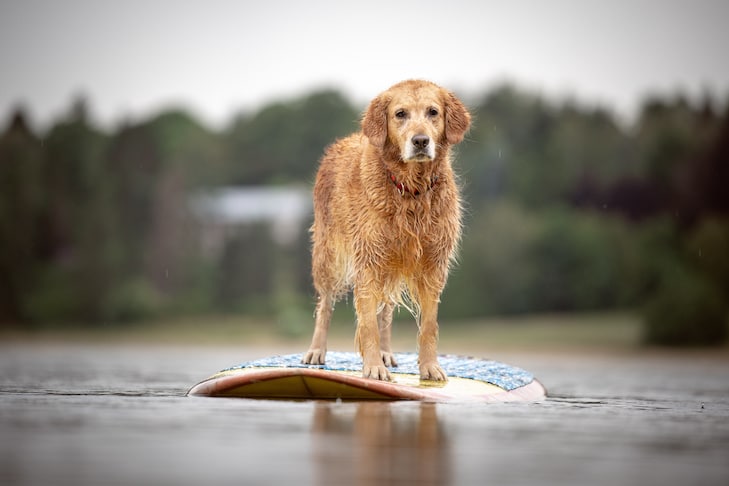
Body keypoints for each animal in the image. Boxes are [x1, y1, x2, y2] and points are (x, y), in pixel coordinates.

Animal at [302, 79, 470, 382]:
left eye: (433, 112)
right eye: (400, 114)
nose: (420, 141)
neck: (411, 190)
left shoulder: (432, 266)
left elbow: (428, 324)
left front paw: (429, 366)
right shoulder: (368, 261)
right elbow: (367, 323)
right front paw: (373, 368)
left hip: (392, 264)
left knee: (386, 311)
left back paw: (386, 352)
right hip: (329, 258)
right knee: (325, 305)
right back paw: (317, 351)